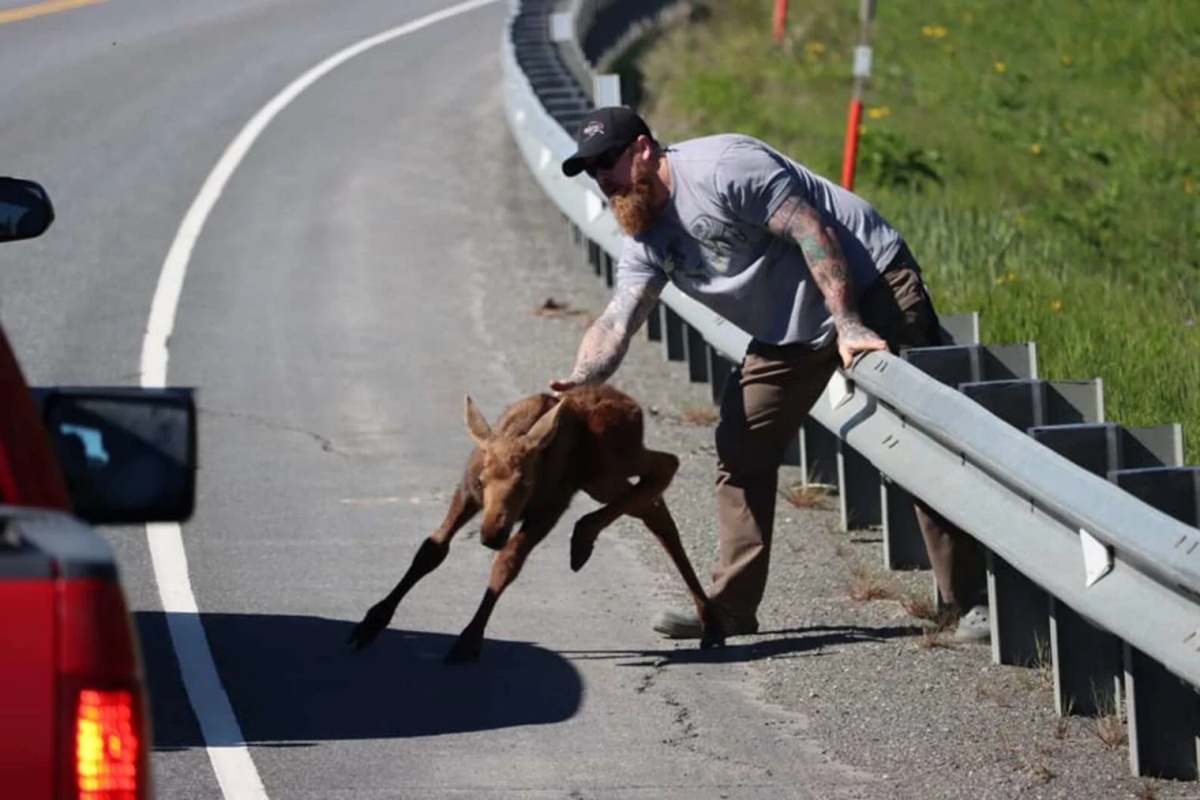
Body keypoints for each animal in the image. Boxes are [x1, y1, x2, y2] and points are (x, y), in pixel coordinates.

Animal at [348, 383, 720, 666]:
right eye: (482, 480)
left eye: (525, 483)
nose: (491, 534)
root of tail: (634, 405)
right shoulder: (467, 495)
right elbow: (431, 549)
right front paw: (371, 622)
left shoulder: (549, 508)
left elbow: (507, 563)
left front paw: (469, 639)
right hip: (603, 476)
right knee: (654, 504)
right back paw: (708, 617)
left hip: (604, 467)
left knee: (666, 466)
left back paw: (583, 537)